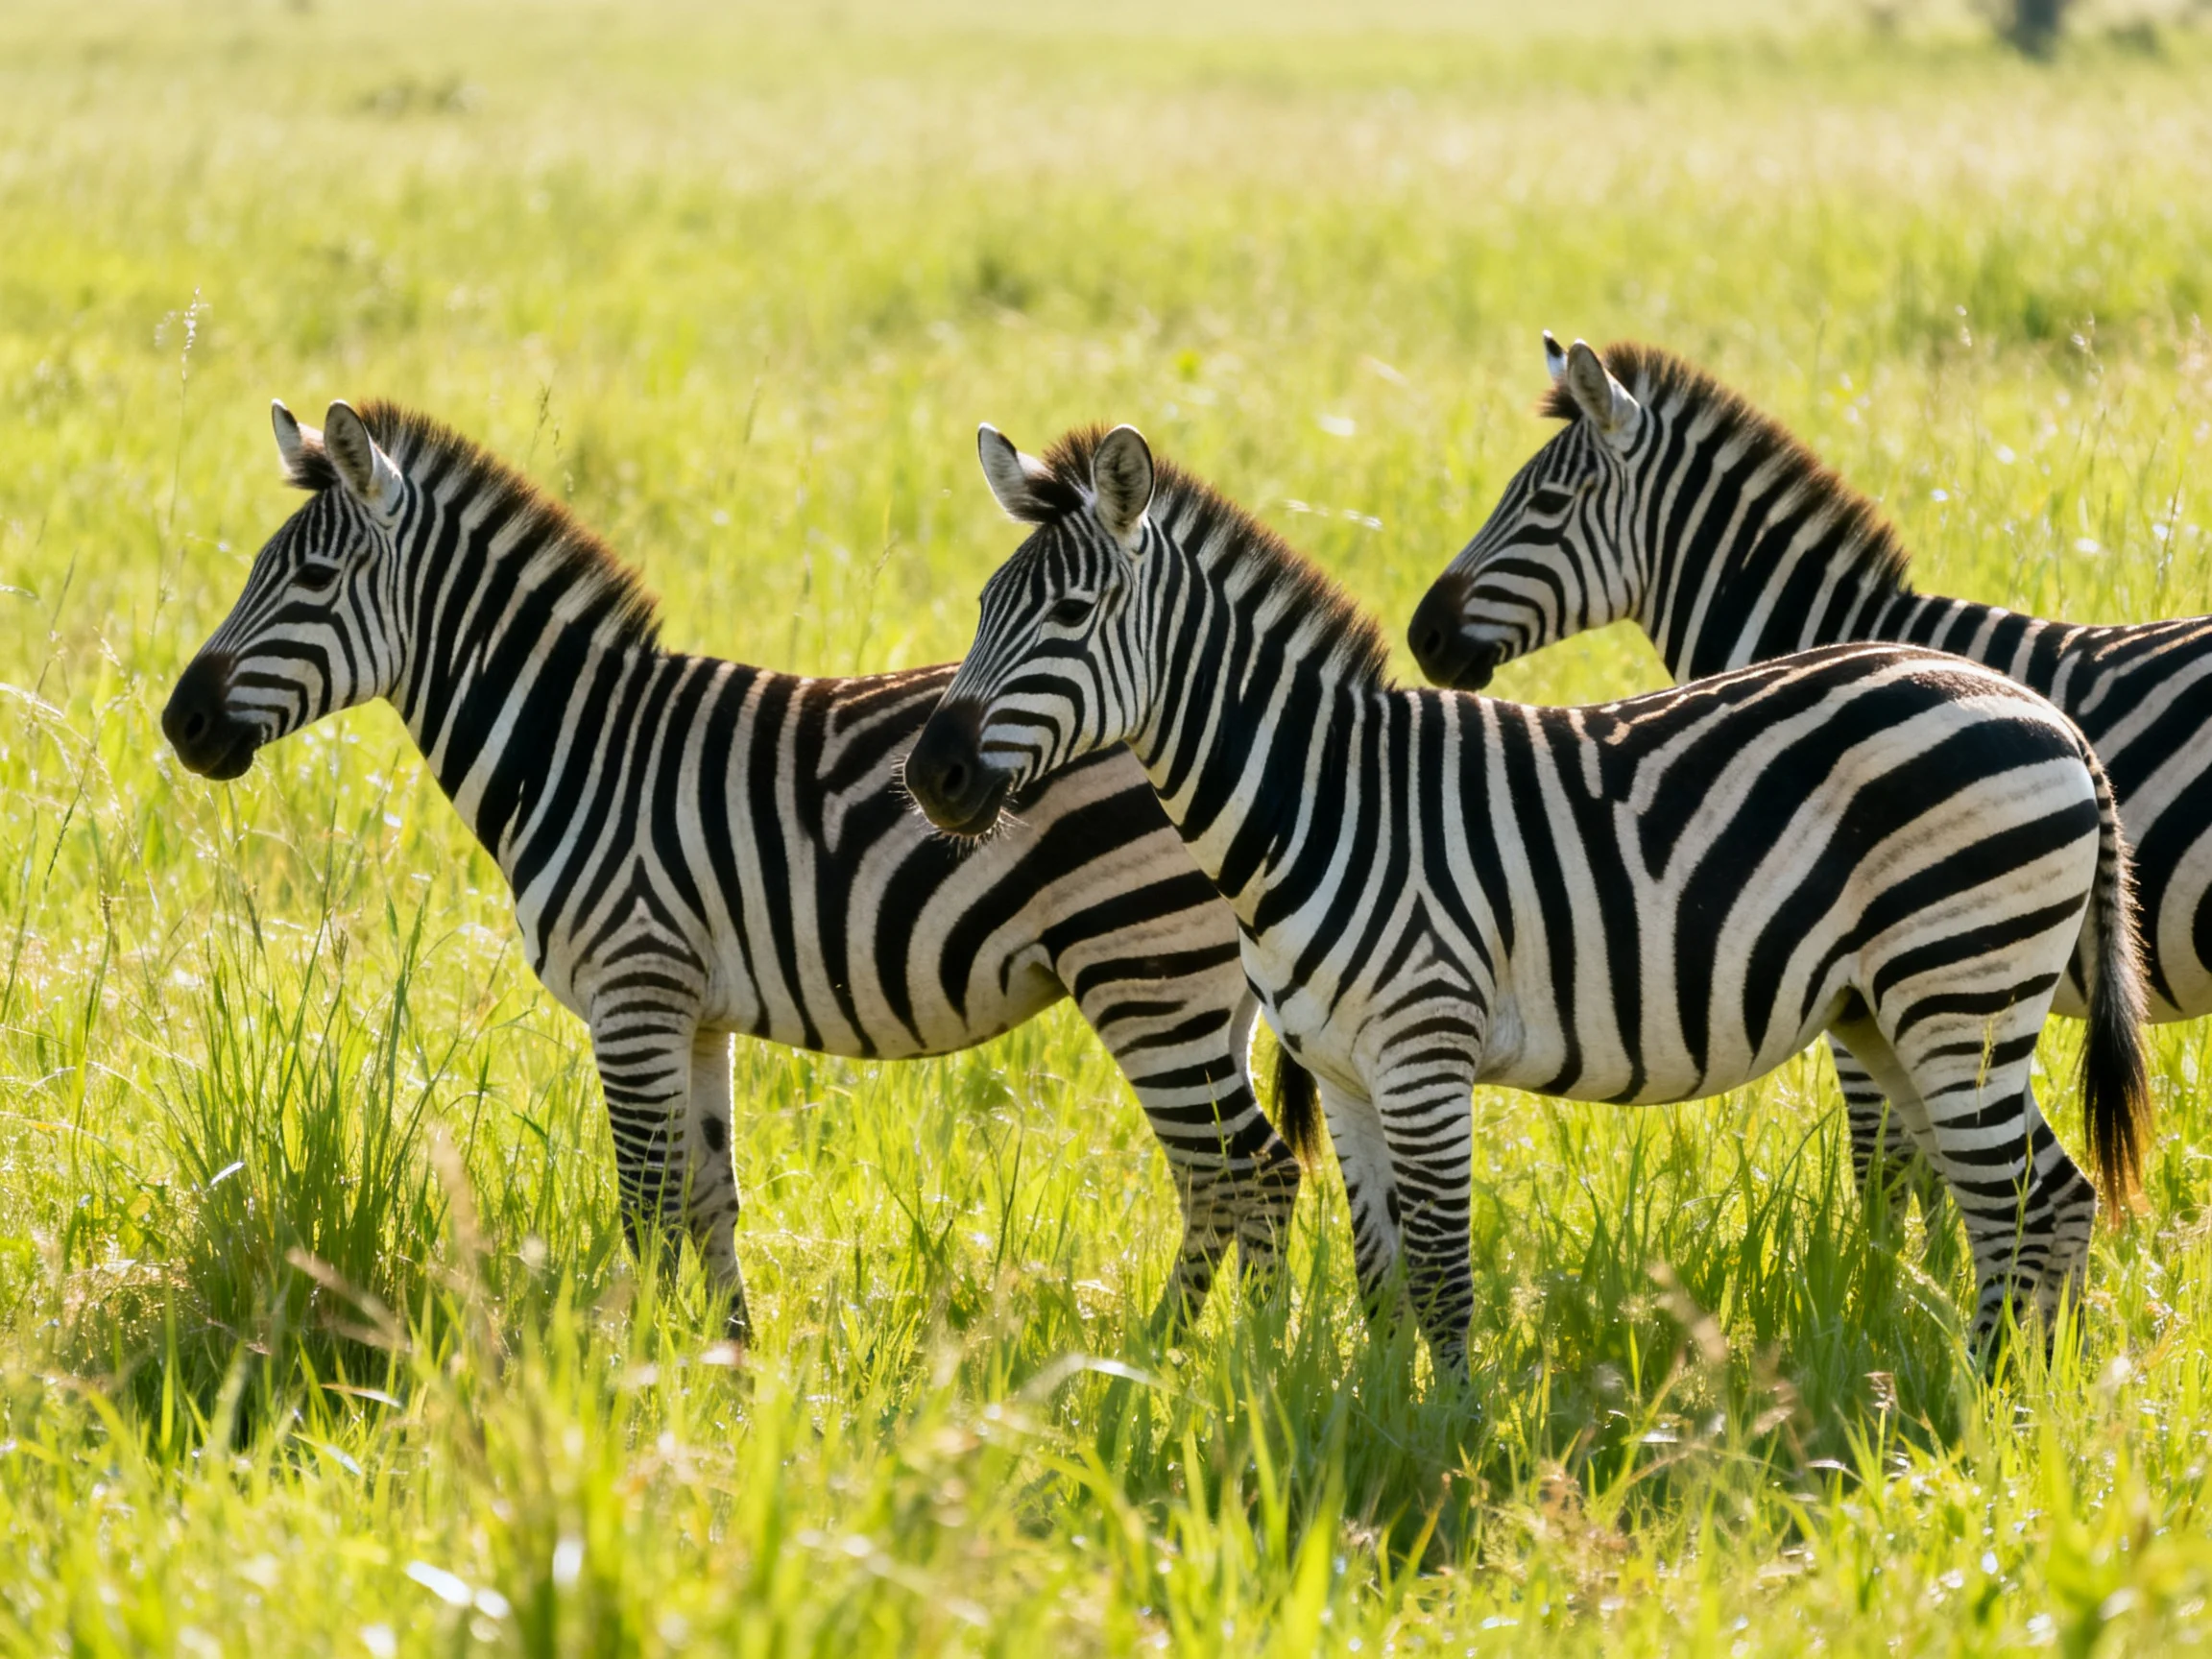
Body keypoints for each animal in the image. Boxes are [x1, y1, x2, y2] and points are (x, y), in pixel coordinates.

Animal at [161, 398, 1308, 1342]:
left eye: (311, 581)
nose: (181, 724)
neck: (573, 747)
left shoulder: (632, 987)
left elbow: (647, 1205)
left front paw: (636, 1385)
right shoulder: (695, 1011)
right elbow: (711, 1203)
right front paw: (728, 1374)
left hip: (1145, 968)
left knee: (1247, 1171)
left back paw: (1223, 1367)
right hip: (1207, 991)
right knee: (1224, 1182)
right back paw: (1179, 1359)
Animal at [903, 421, 2150, 1374]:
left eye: (1068, 618)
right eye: (984, 606)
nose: (933, 777)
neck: (1319, 797)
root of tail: (2047, 715)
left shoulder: (1423, 1051)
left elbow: (1442, 1274)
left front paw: (1449, 1436)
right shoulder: (1343, 1074)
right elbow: (1379, 1275)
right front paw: (1372, 1422)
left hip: (1960, 987)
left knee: (2033, 1201)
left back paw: (1991, 1404)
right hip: (1893, 1010)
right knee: (2035, 1206)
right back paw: (2020, 1396)